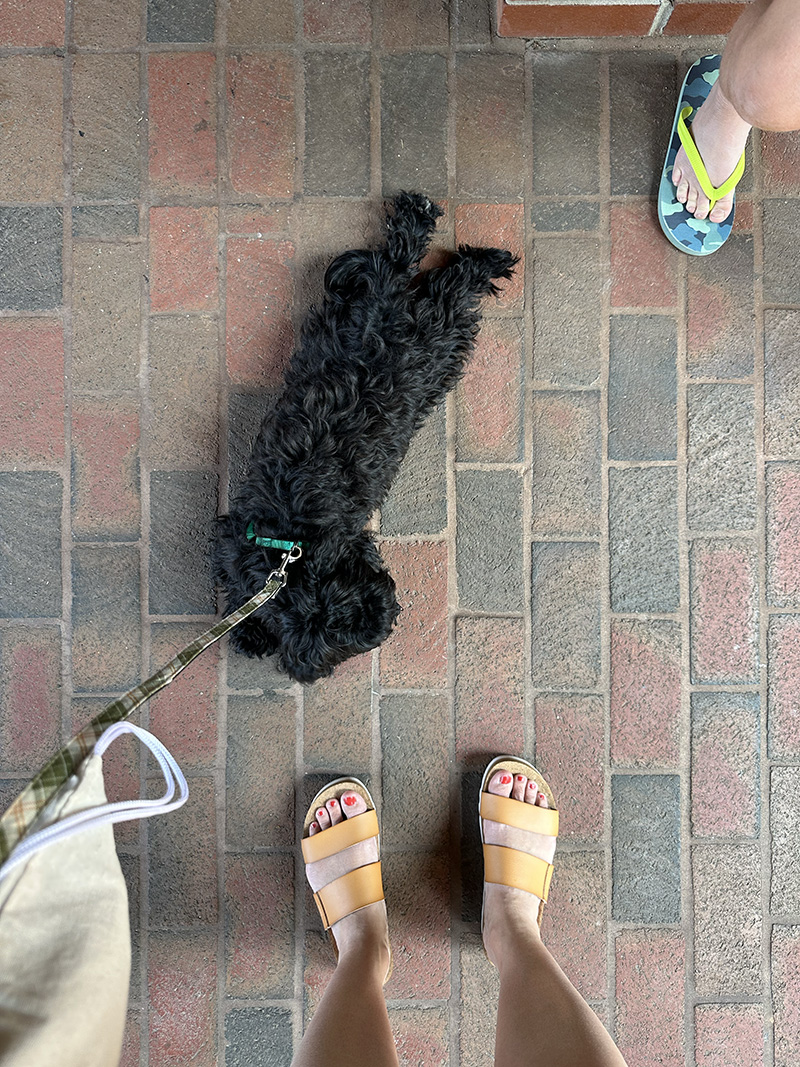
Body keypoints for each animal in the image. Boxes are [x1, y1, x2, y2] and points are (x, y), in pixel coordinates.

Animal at [214, 192, 514, 682]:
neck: (291, 547)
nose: (389, 613)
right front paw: (249, 630)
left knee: (426, 271)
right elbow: (240, 593)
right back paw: (451, 240)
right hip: (434, 332)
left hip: (429, 332)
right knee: (429, 274)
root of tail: (390, 309)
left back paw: (462, 245)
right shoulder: (234, 543)